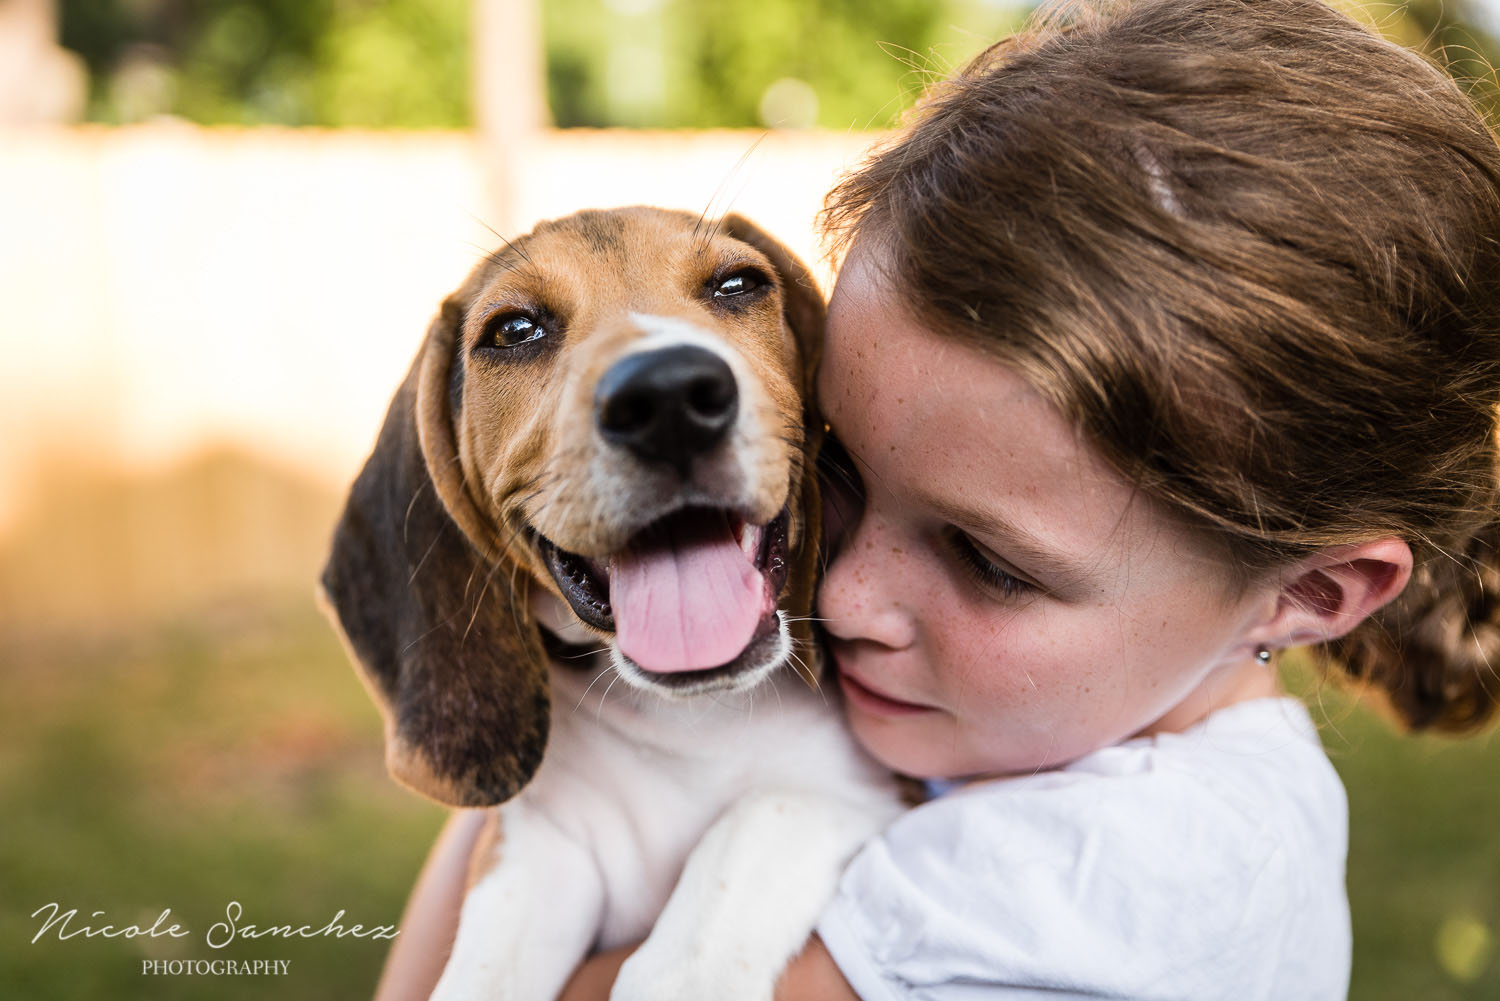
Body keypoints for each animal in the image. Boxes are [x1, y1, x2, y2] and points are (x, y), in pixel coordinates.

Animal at [321, 210, 894, 1001]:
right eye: (514, 329)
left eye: (738, 284)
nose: (669, 398)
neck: (691, 718)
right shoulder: (536, 847)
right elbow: (486, 970)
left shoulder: (862, 794)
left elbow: (751, 828)